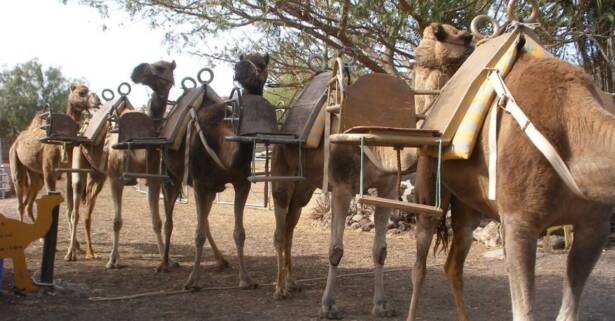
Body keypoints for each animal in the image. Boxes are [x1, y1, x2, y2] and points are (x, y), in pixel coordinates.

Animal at [9, 84, 92, 221]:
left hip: (35, 173)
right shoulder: (49, 171)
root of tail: (15, 141)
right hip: (15, 159)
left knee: (29, 201)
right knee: (20, 198)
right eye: (81, 93)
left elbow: (69, 206)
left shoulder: (68, 171)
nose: (97, 101)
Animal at [183, 53, 270, 290]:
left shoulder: (241, 182)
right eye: (240, 63)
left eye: (262, 64)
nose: (239, 70)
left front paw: (246, 279)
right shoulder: (199, 182)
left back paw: (221, 260)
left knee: (204, 218)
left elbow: (239, 233)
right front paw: (192, 280)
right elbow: (198, 233)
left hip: (211, 190)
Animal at [410, 34, 615, 320]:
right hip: (429, 182)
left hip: (469, 206)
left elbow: (567, 313)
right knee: (420, 263)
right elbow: (524, 311)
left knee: (453, 264)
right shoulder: (519, 221)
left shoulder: (595, 227)